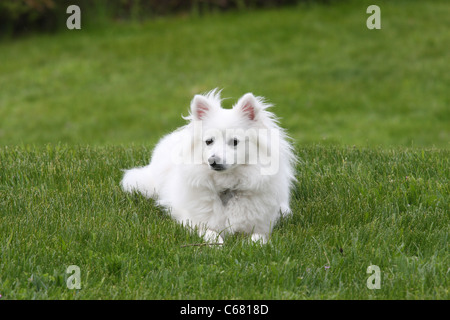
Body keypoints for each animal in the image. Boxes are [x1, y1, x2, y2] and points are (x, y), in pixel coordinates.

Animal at [120, 89, 296, 244]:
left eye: (235, 142)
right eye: (209, 141)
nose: (213, 160)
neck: (226, 188)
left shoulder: (262, 224)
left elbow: (257, 237)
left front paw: (252, 244)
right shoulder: (192, 221)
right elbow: (210, 232)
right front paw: (216, 243)